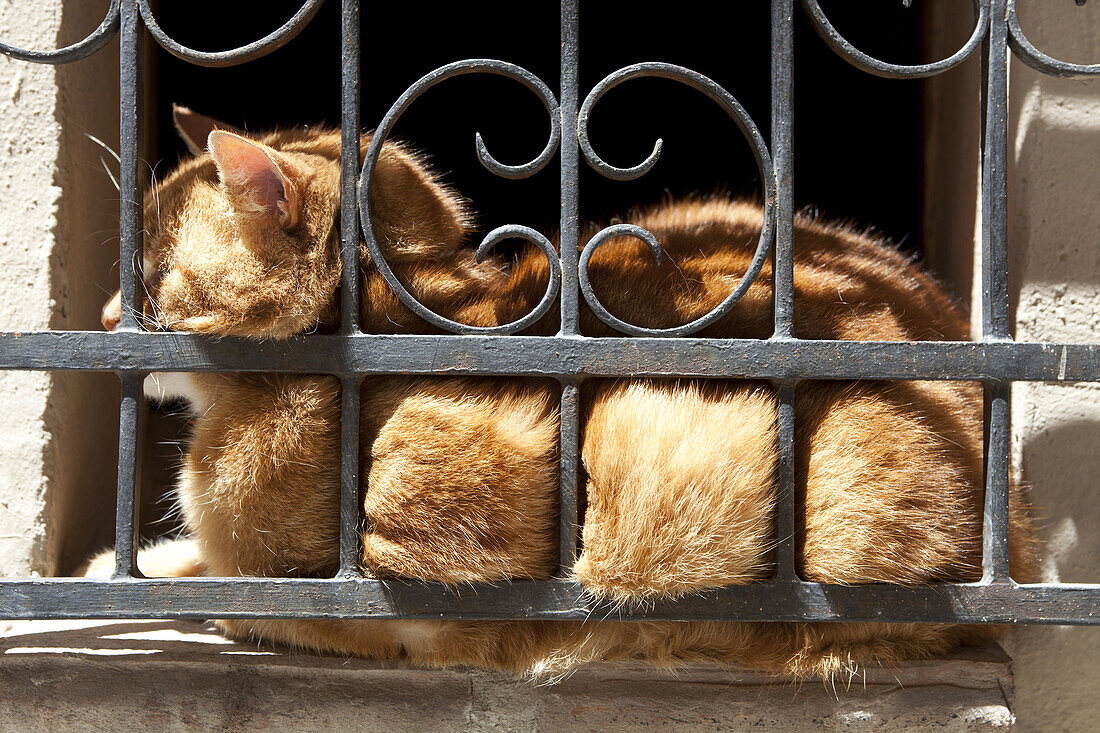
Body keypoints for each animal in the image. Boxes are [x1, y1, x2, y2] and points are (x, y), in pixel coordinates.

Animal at [85, 105, 1038, 677]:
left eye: (149, 274)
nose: (98, 316)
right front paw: (142, 560)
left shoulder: (424, 599)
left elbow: (264, 599)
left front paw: (178, 575)